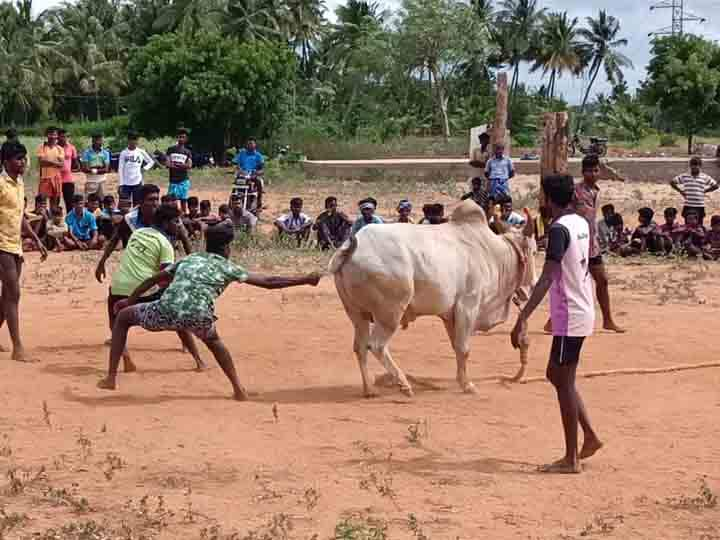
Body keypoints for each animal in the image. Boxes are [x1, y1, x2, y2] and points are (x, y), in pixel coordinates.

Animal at [330, 200, 536, 398]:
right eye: (533, 251)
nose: (532, 285)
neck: (492, 253)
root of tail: (350, 249)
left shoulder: (449, 315)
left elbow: (457, 347)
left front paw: (461, 381)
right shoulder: (468, 306)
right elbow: (464, 348)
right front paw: (468, 385)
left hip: (357, 313)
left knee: (360, 347)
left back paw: (369, 390)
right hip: (390, 312)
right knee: (376, 345)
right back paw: (403, 384)